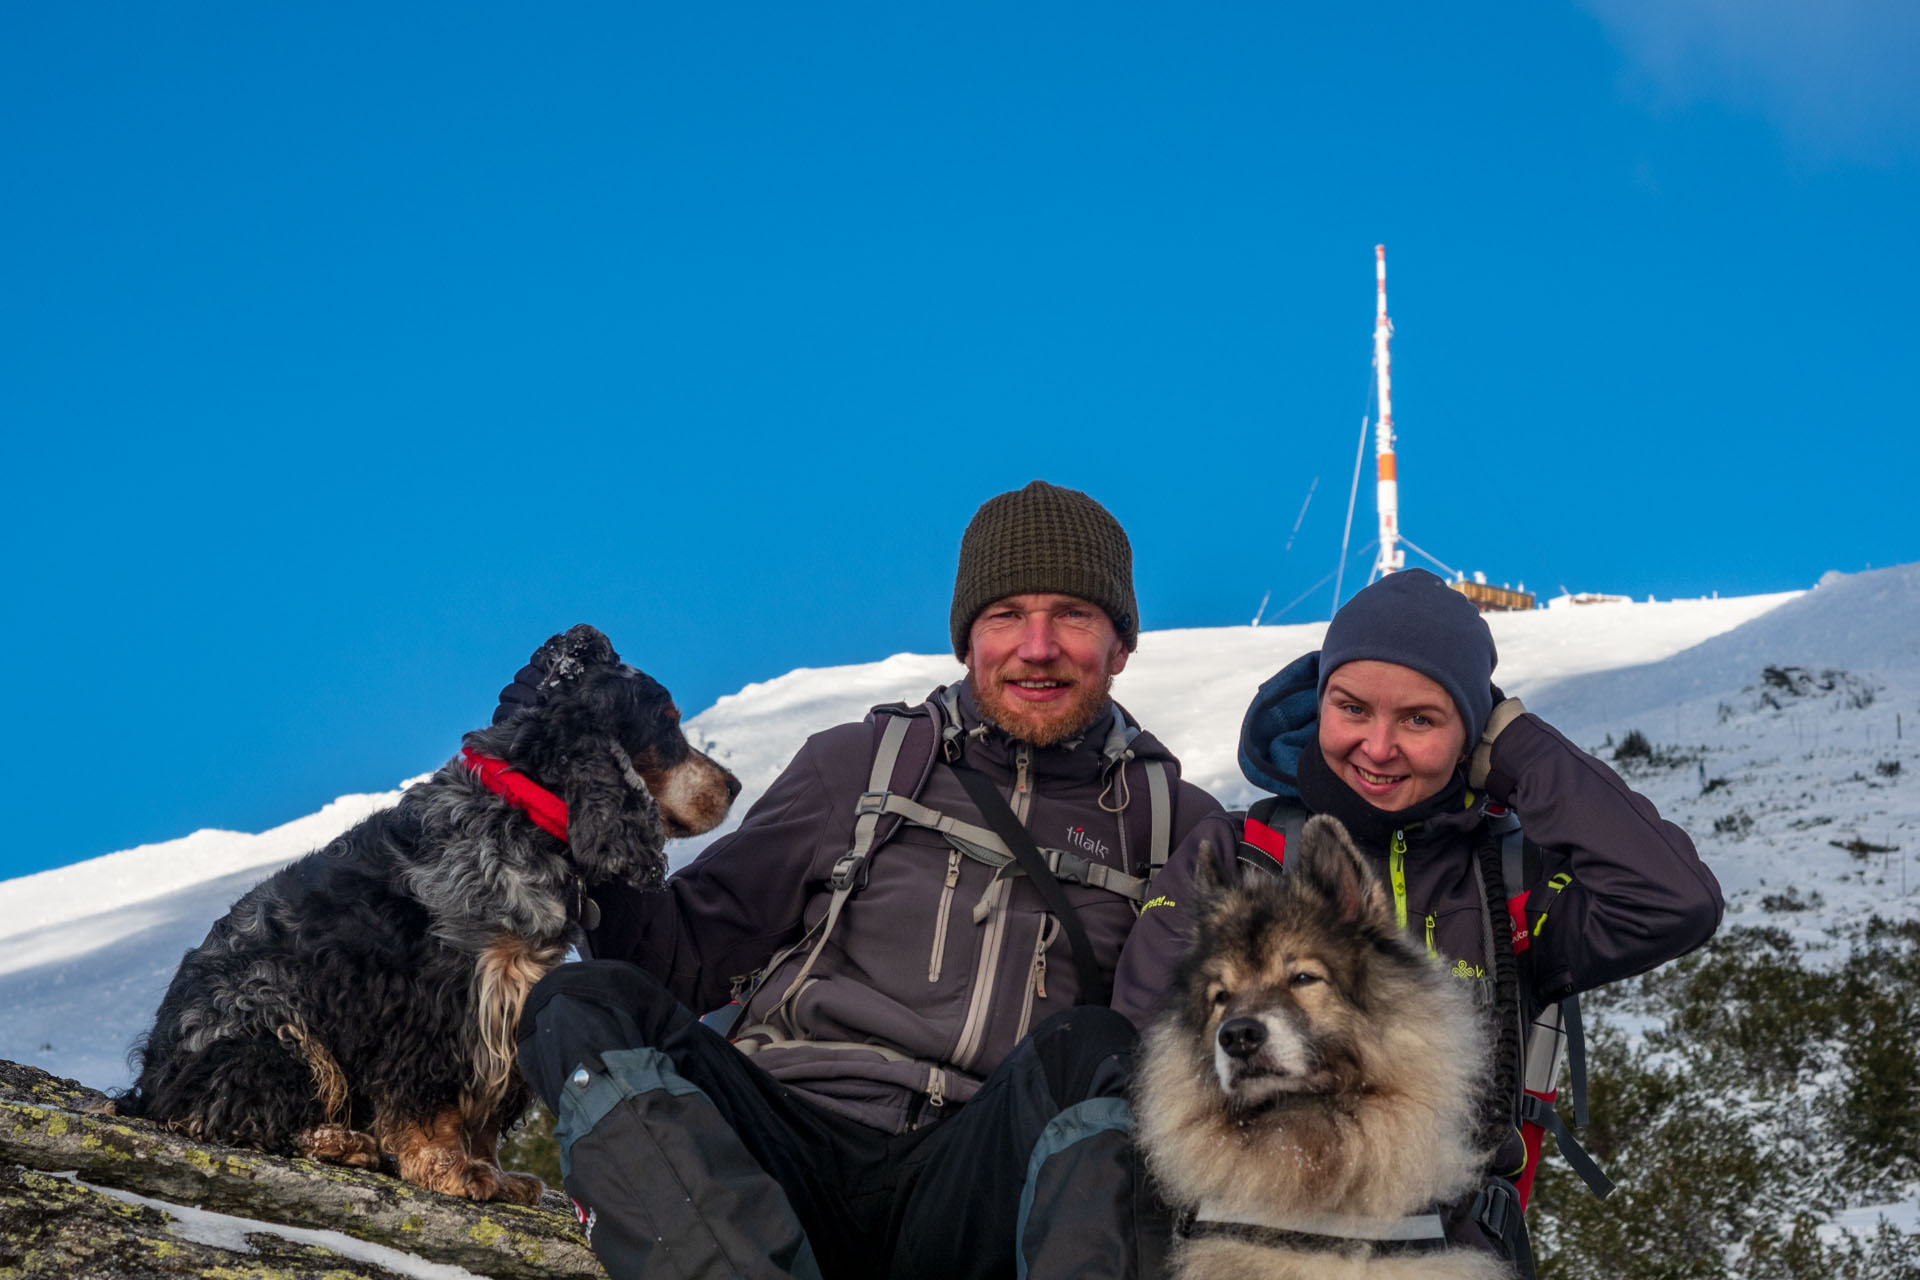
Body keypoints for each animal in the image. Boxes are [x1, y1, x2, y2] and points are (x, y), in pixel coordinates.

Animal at [120, 625, 733, 1205]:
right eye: (668, 724)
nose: (734, 786)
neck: (520, 808)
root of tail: (152, 1081)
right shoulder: (438, 1001)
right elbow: (434, 1104)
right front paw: (452, 1172)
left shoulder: (509, 1001)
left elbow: (484, 1111)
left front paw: (497, 1174)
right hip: (274, 1022)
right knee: (225, 1110)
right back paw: (338, 1141)